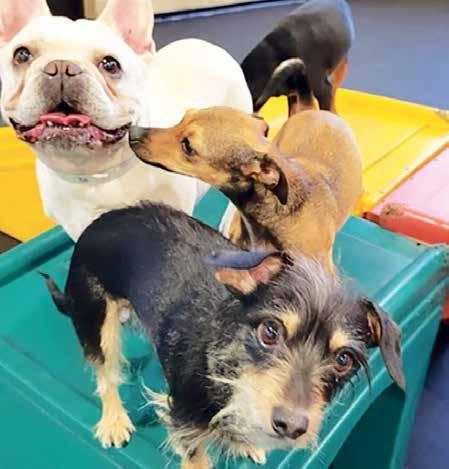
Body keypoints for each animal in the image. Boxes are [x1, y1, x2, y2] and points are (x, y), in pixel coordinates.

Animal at [41, 202, 405, 468]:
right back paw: (114, 420)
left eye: (343, 359)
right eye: (270, 331)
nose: (290, 426)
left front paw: (244, 440)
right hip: (95, 318)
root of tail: (102, 219)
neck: (227, 358)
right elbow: (196, 455)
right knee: (105, 373)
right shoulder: (184, 418)